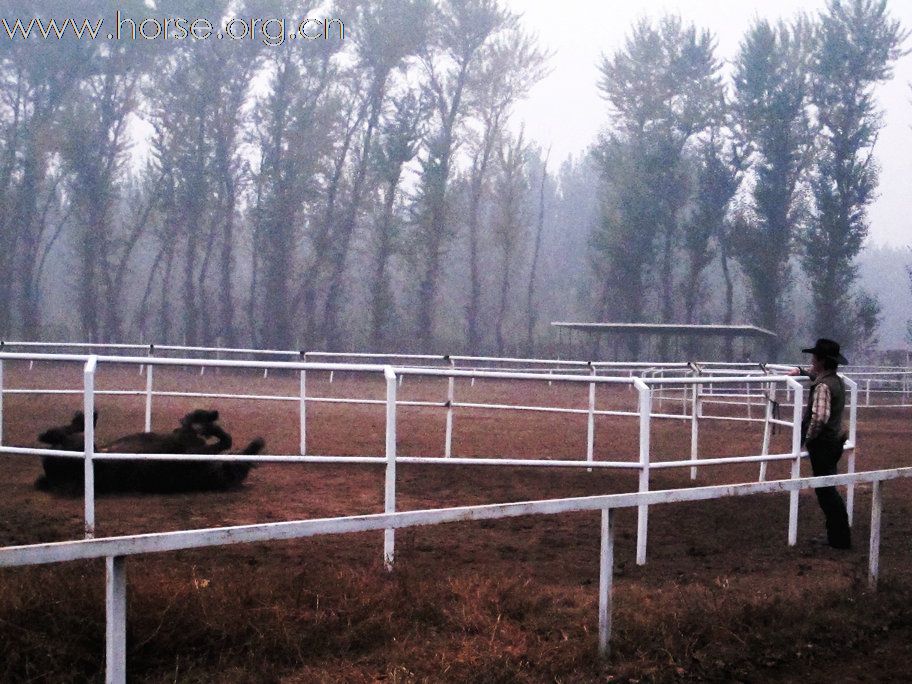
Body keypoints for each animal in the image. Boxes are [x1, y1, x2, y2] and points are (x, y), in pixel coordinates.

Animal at [39, 408, 268, 494]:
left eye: (243, 467)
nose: (258, 442)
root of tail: (50, 479)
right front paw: (210, 419)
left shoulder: (185, 439)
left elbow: (221, 437)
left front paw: (207, 420)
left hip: (78, 446)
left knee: (62, 433)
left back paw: (82, 418)